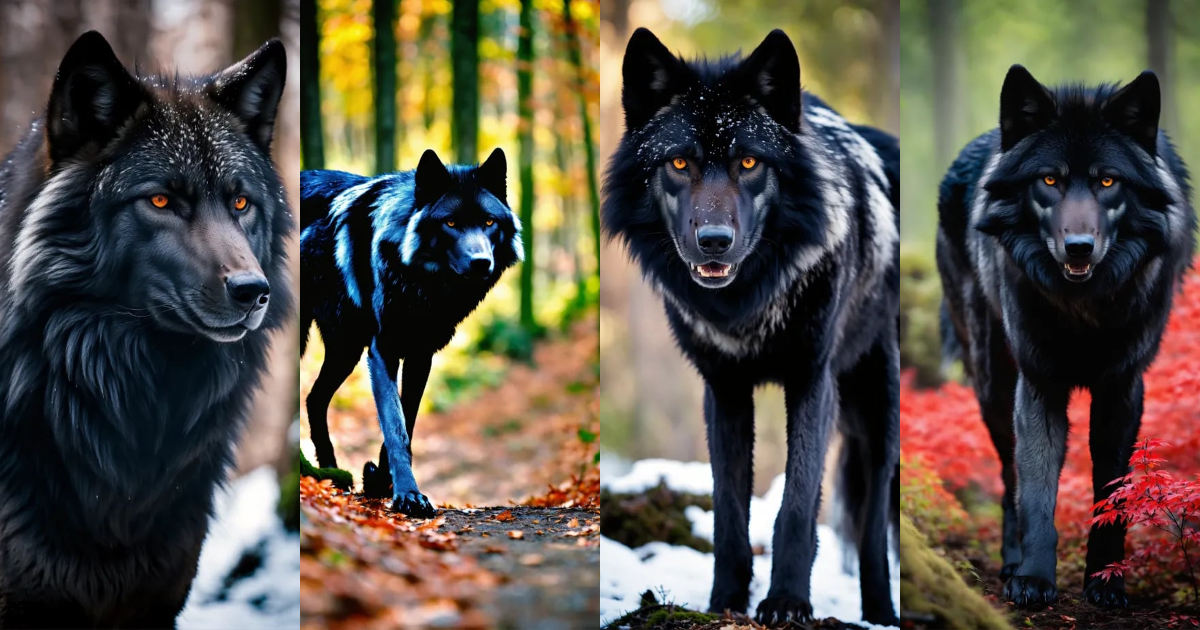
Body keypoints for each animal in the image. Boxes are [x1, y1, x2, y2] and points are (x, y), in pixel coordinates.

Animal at [300, 148, 522, 517]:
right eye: (451, 223)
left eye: (489, 223)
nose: (481, 262)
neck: (424, 285)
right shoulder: (383, 351)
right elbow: (395, 425)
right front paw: (407, 495)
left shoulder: (421, 355)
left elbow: (409, 419)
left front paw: (379, 482)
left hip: (346, 350)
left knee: (314, 398)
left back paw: (332, 475)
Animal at [602, 28, 900, 626]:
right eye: (678, 163)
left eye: (747, 161)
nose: (715, 241)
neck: (747, 305)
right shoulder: (724, 390)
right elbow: (728, 510)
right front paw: (725, 601)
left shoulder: (813, 381)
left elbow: (797, 503)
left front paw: (786, 601)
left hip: (878, 405)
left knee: (875, 519)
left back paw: (881, 612)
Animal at [937, 65, 1195, 607]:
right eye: (1049, 179)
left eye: (1107, 180)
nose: (1078, 247)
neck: (1084, 309)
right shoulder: (1038, 384)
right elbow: (1035, 488)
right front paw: (1034, 578)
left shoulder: (1122, 388)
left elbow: (1112, 489)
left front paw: (1107, 581)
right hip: (993, 385)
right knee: (1008, 475)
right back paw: (1011, 561)